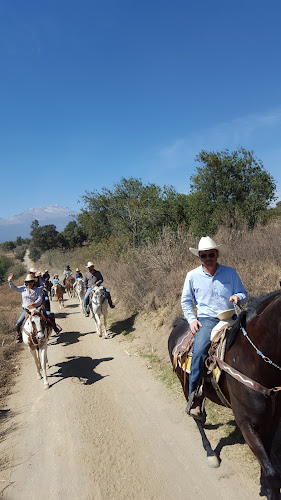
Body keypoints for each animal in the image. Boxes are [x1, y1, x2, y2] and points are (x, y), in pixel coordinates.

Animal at [168, 290, 280, 500]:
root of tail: (179, 325)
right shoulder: (246, 423)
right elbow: (272, 474)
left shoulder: (272, 421)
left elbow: (268, 462)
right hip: (186, 386)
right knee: (195, 415)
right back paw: (210, 452)